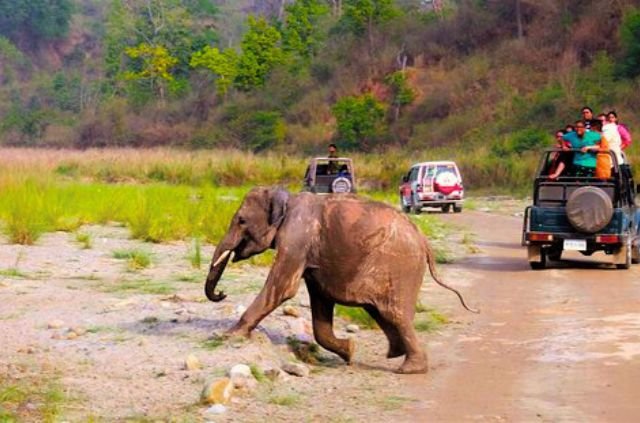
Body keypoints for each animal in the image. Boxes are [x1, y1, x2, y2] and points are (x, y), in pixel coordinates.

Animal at [205, 187, 476, 374]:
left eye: (241, 221)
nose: (222, 294)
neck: (286, 196)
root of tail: (423, 239)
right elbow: (320, 301)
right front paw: (349, 352)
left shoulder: (296, 238)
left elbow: (283, 288)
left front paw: (226, 336)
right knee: (382, 312)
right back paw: (395, 353)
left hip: (400, 269)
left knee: (395, 314)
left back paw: (408, 369)